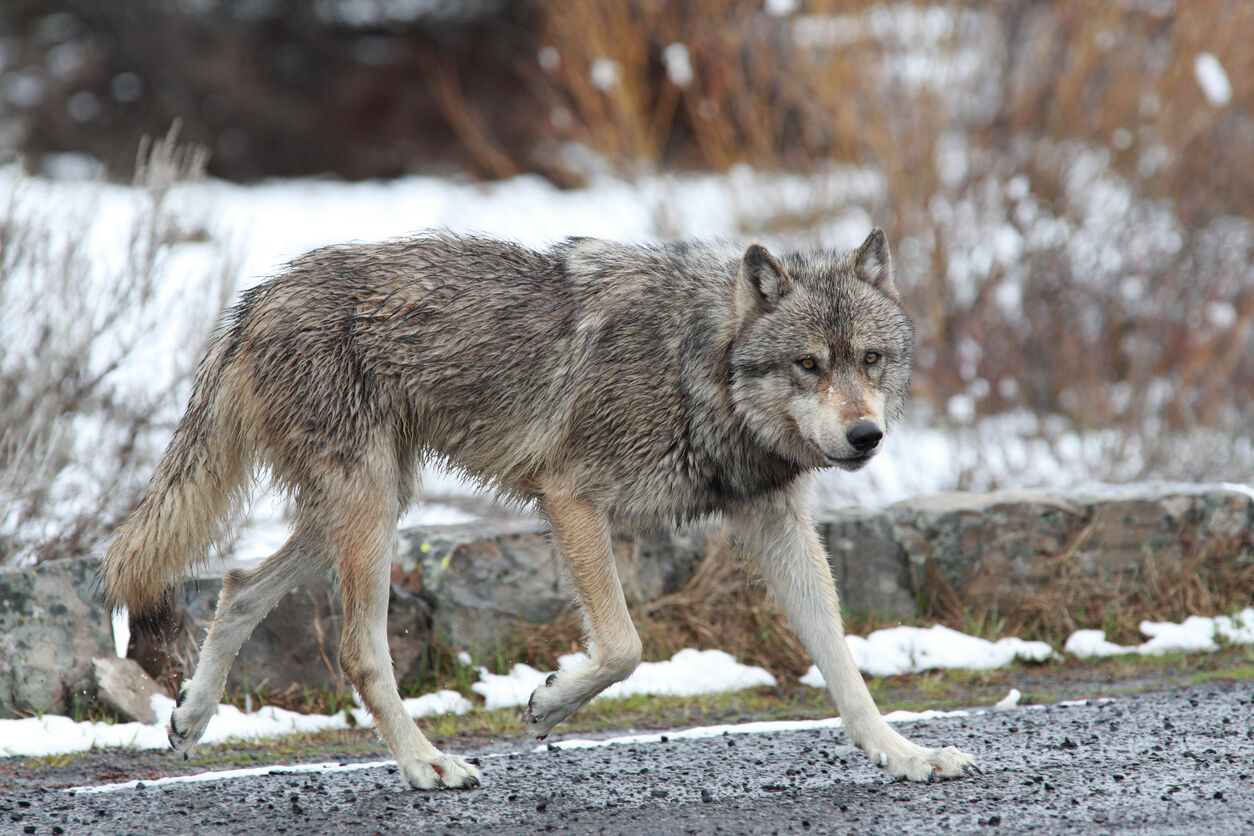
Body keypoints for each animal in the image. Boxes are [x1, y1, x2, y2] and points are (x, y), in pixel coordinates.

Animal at [102, 227, 976, 790]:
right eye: (809, 365)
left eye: (870, 359)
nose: (866, 436)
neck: (697, 367)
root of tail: (259, 295)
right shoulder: (571, 497)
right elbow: (624, 645)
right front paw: (550, 701)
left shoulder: (775, 521)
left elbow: (842, 664)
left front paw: (902, 754)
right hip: (371, 515)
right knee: (357, 649)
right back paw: (425, 764)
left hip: (360, 511)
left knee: (236, 585)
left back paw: (191, 718)